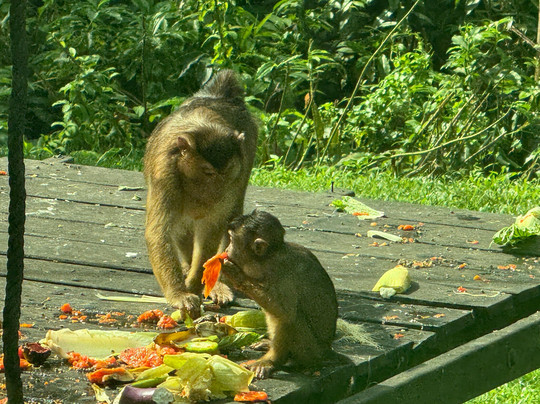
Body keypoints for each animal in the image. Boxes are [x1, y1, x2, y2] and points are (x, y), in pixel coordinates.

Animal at [143, 70, 258, 319]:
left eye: (225, 172)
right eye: (207, 172)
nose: (214, 194)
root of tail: (220, 96)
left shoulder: (235, 175)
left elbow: (212, 228)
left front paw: (196, 283)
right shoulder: (164, 173)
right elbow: (160, 232)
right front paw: (179, 293)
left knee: (231, 215)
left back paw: (218, 281)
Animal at [221, 210, 339, 379]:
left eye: (231, 241)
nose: (226, 249)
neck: (269, 259)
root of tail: (327, 351)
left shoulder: (284, 274)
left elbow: (285, 312)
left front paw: (235, 275)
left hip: (313, 352)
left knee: (290, 318)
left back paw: (273, 360)